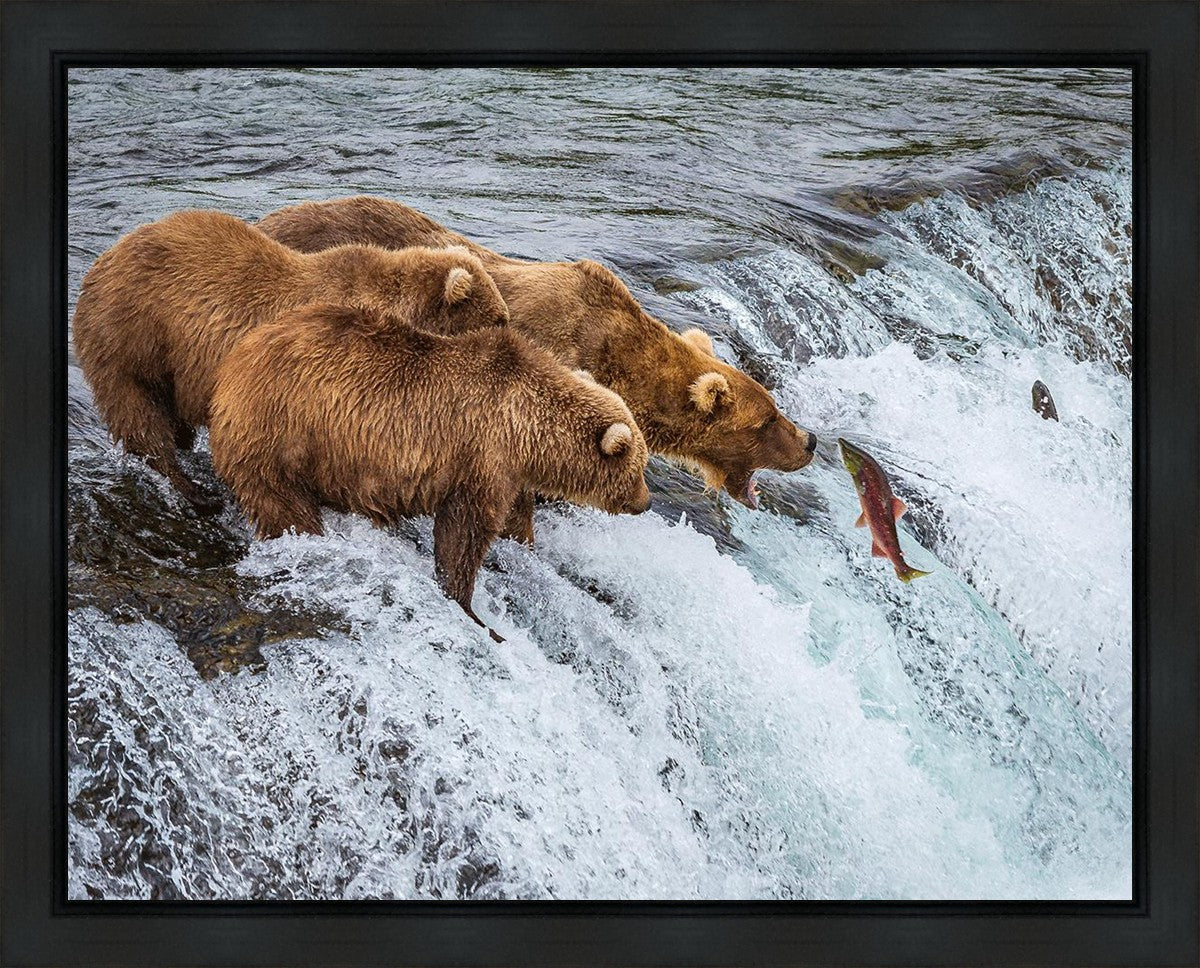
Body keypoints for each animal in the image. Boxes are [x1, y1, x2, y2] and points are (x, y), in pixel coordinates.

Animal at [72, 209, 510, 507]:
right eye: (500, 318)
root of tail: (101, 262)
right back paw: (191, 488)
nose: (512, 334)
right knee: (139, 414)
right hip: (132, 337)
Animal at [210, 303, 651, 640]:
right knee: (283, 504)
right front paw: (471, 608)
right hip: (282, 433)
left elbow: (513, 520)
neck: (527, 428)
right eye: (639, 468)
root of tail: (232, 365)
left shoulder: (509, 472)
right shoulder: (481, 456)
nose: (646, 502)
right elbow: (464, 533)